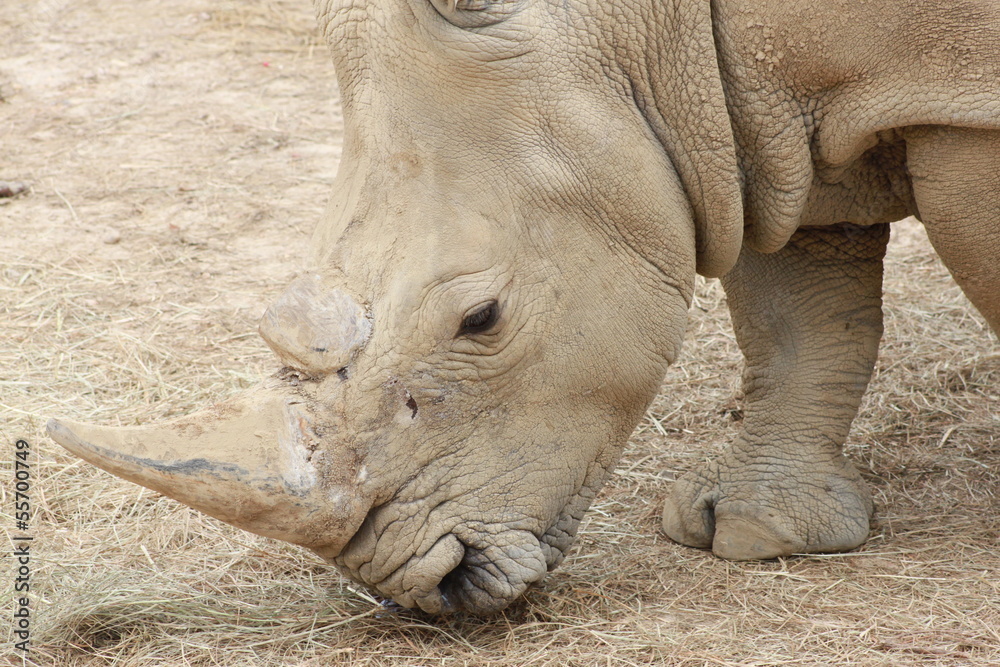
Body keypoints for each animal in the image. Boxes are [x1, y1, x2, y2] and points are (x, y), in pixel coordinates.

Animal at [48, 0, 999, 615]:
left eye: (482, 319)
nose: (429, 587)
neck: (643, 25)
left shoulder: (959, 95)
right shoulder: (757, 121)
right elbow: (802, 324)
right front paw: (758, 531)